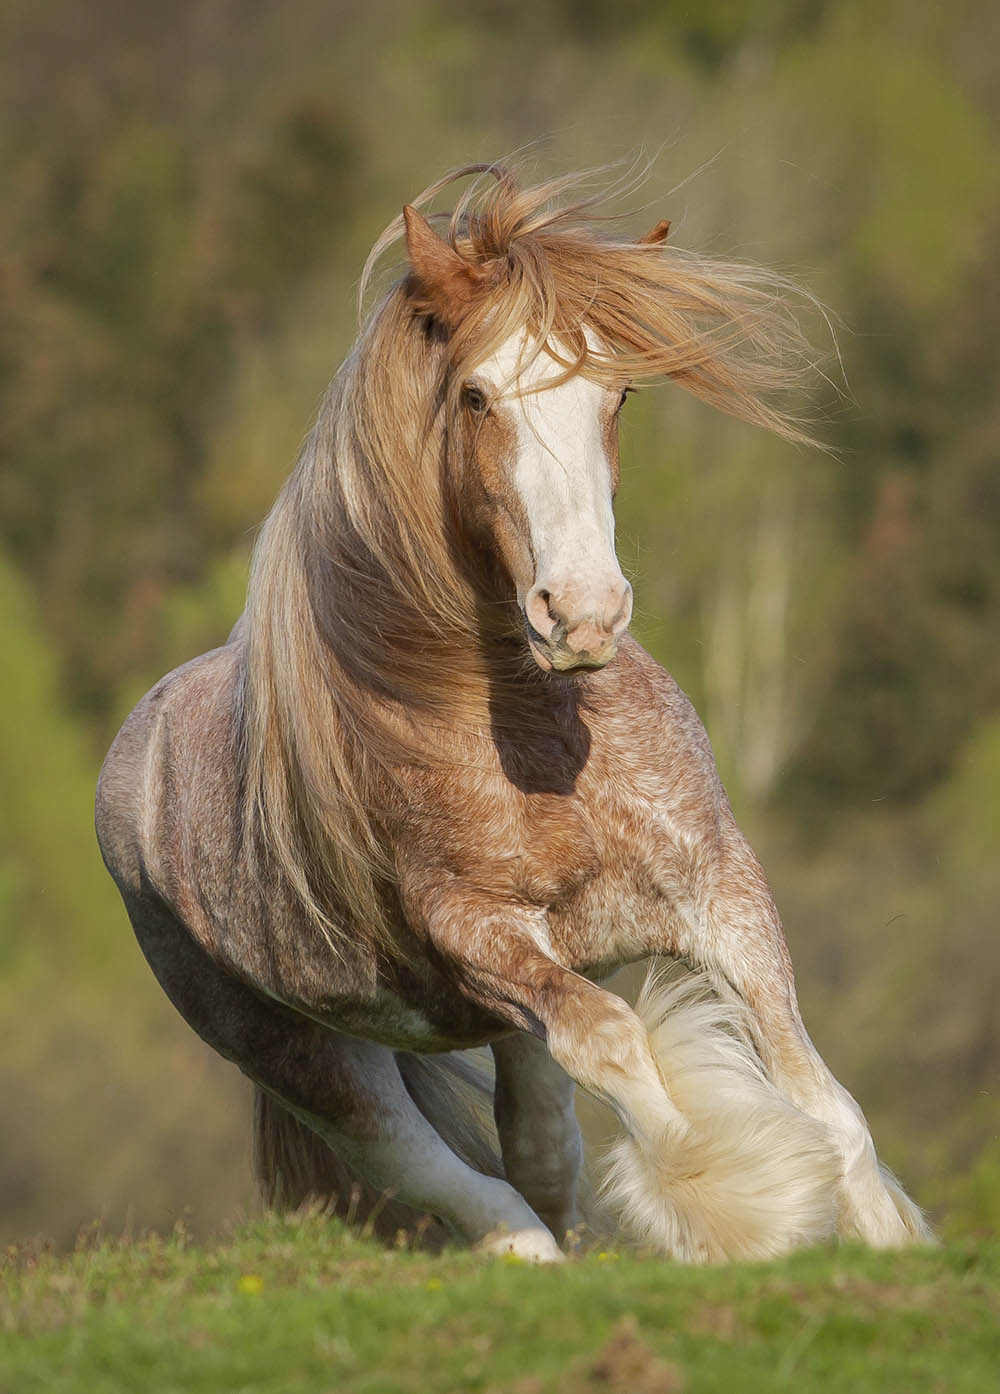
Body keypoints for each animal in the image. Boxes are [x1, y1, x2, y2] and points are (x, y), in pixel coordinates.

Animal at [95, 163, 926, 1265]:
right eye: (476, 394)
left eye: (619, 392)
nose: (582, 613)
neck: (532, 739)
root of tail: (130, 757)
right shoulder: (484, 938)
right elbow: (618, 1049)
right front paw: (741, 1206)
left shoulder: (720, 891)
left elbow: (826, 1104)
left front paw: (881, 1239)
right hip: (309, 1053)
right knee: (452, 1181)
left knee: (537, 1153)